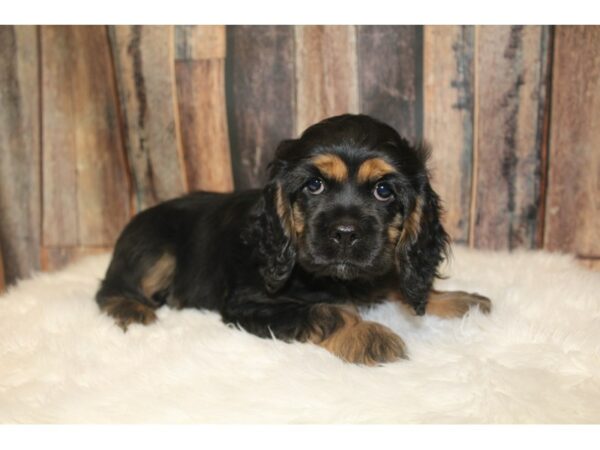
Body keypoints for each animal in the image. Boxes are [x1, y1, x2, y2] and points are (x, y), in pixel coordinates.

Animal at [96, 113, 490, 366]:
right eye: (313, 185)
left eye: (383, 191)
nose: (345, 233)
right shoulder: (247, 303)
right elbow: (327, 309)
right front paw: (369, 335)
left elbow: (399, 281)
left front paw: (457, 300)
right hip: (155, 249)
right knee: (109, 289)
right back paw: (133, 310)